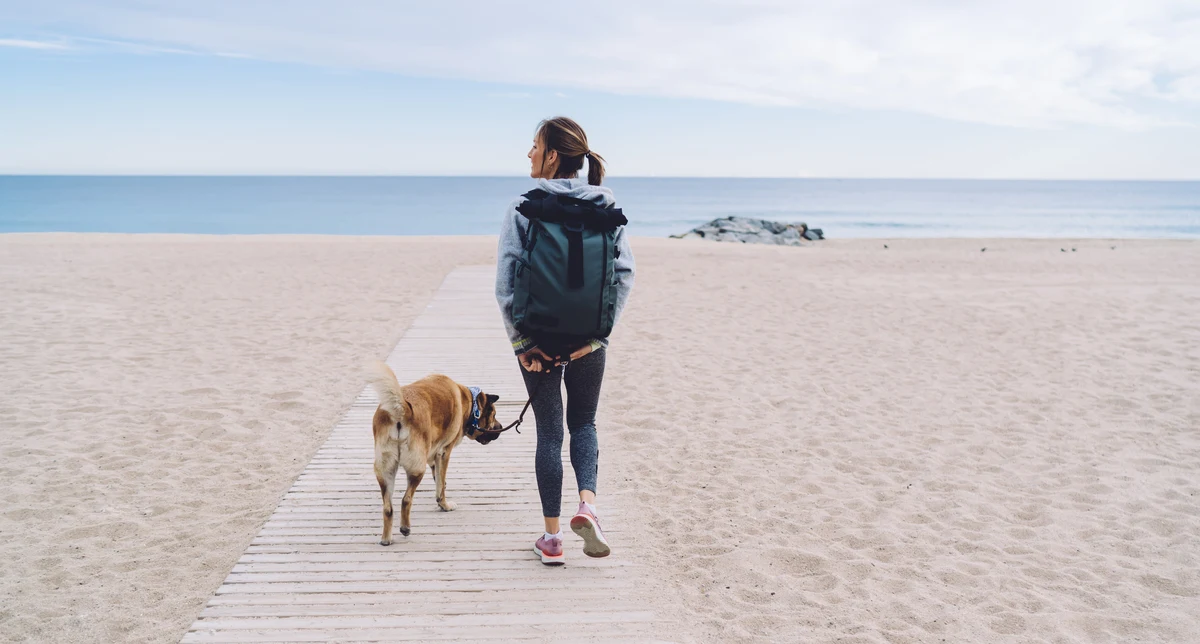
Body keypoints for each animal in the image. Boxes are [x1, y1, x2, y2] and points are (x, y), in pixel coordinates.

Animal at [362, 362, 499, 542]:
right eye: (494, 415)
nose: (499, 429)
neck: (470, 403)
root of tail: (402, 408)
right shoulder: (444, 452)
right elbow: (441, 486)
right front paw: (444, 504)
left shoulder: (432, 454)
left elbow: (439, 480)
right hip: (417, 469)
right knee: (406, 500)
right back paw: (405, 528)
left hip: (385, 471)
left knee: (388, 508)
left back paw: (386, 539)